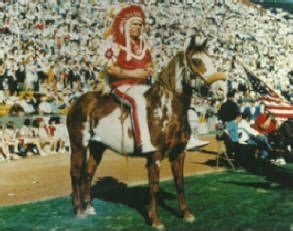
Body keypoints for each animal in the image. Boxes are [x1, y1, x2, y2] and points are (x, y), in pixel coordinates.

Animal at [65, 36, 221, 229]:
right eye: (196, 61)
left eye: (210, 58)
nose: (220, 88)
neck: (166, 108)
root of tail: (76, 102)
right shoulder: (155, 156)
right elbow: (153, 186)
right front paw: (155, 221)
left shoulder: (178, 153)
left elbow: (180, 183)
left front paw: (186, 214)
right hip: (78, 145)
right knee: (75, 173)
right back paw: (79, 211)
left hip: (97, 147)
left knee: (87, 174)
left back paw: (89, 208)